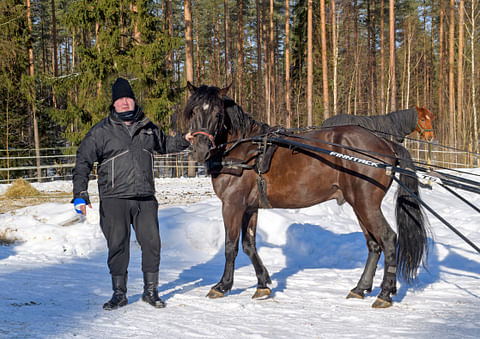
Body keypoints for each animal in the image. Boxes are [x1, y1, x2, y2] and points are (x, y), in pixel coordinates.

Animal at [183, 83, 428, 310]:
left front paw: (222, 285)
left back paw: (385, 294)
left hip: (366, 204)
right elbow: (248, 245)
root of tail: (385, 143)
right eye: (193, 112)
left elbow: (230, 246)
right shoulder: (249, 207)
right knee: (373, 245)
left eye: (218, 114)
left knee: (388, 239)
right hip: (359, 205)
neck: (244, 149)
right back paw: (360, 288)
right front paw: (263, 284)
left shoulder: (232, 205)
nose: (200, 150)